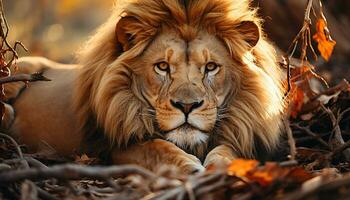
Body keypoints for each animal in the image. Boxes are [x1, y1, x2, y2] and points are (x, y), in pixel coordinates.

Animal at [2, 0, 284, 173]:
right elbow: (156, 147)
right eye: (162, 66)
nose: (187, 106)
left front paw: (222, 166)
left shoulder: (241, 131)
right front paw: (189, 166)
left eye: (211, 67)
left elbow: (229, 150)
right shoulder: (114, 148)